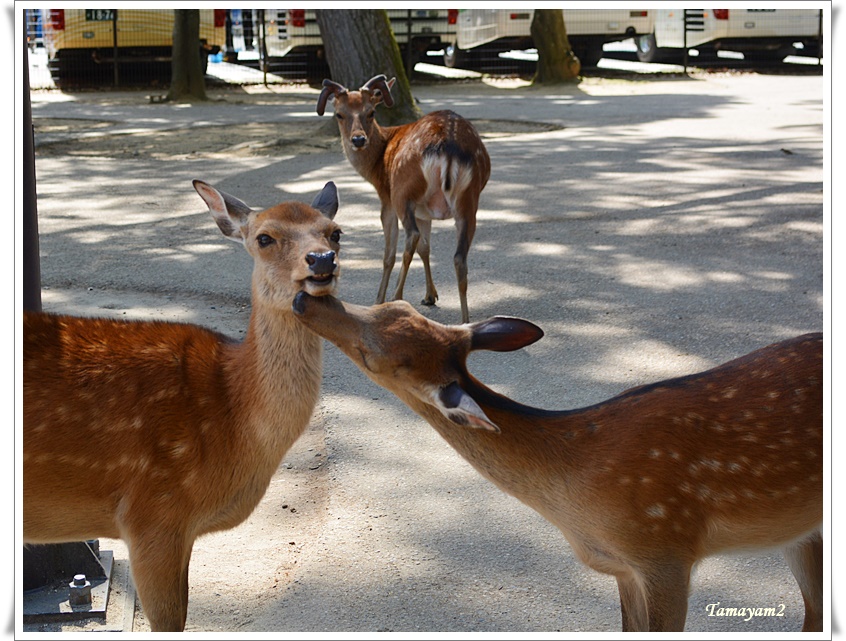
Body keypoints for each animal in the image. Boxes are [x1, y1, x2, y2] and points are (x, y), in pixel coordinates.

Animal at [294, 292, 828, 632]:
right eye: (391, 304)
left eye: (371, 354)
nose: (305, 300)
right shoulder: (624, 568)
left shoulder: (666, 550)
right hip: (803, 530)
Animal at [316, 72, 490, 322]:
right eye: (339, 113)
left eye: (371, 112)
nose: (358, 140)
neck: (377, 165)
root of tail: (447, 144)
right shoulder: (425, 211)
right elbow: (426, 248)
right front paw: (430, 295)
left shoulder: (386, 199)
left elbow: (389, 254)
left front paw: (378, 299)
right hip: (469, 200)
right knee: (459, 257)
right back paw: (466, 322)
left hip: (402, 191)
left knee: (410, 238)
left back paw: (395, 298)